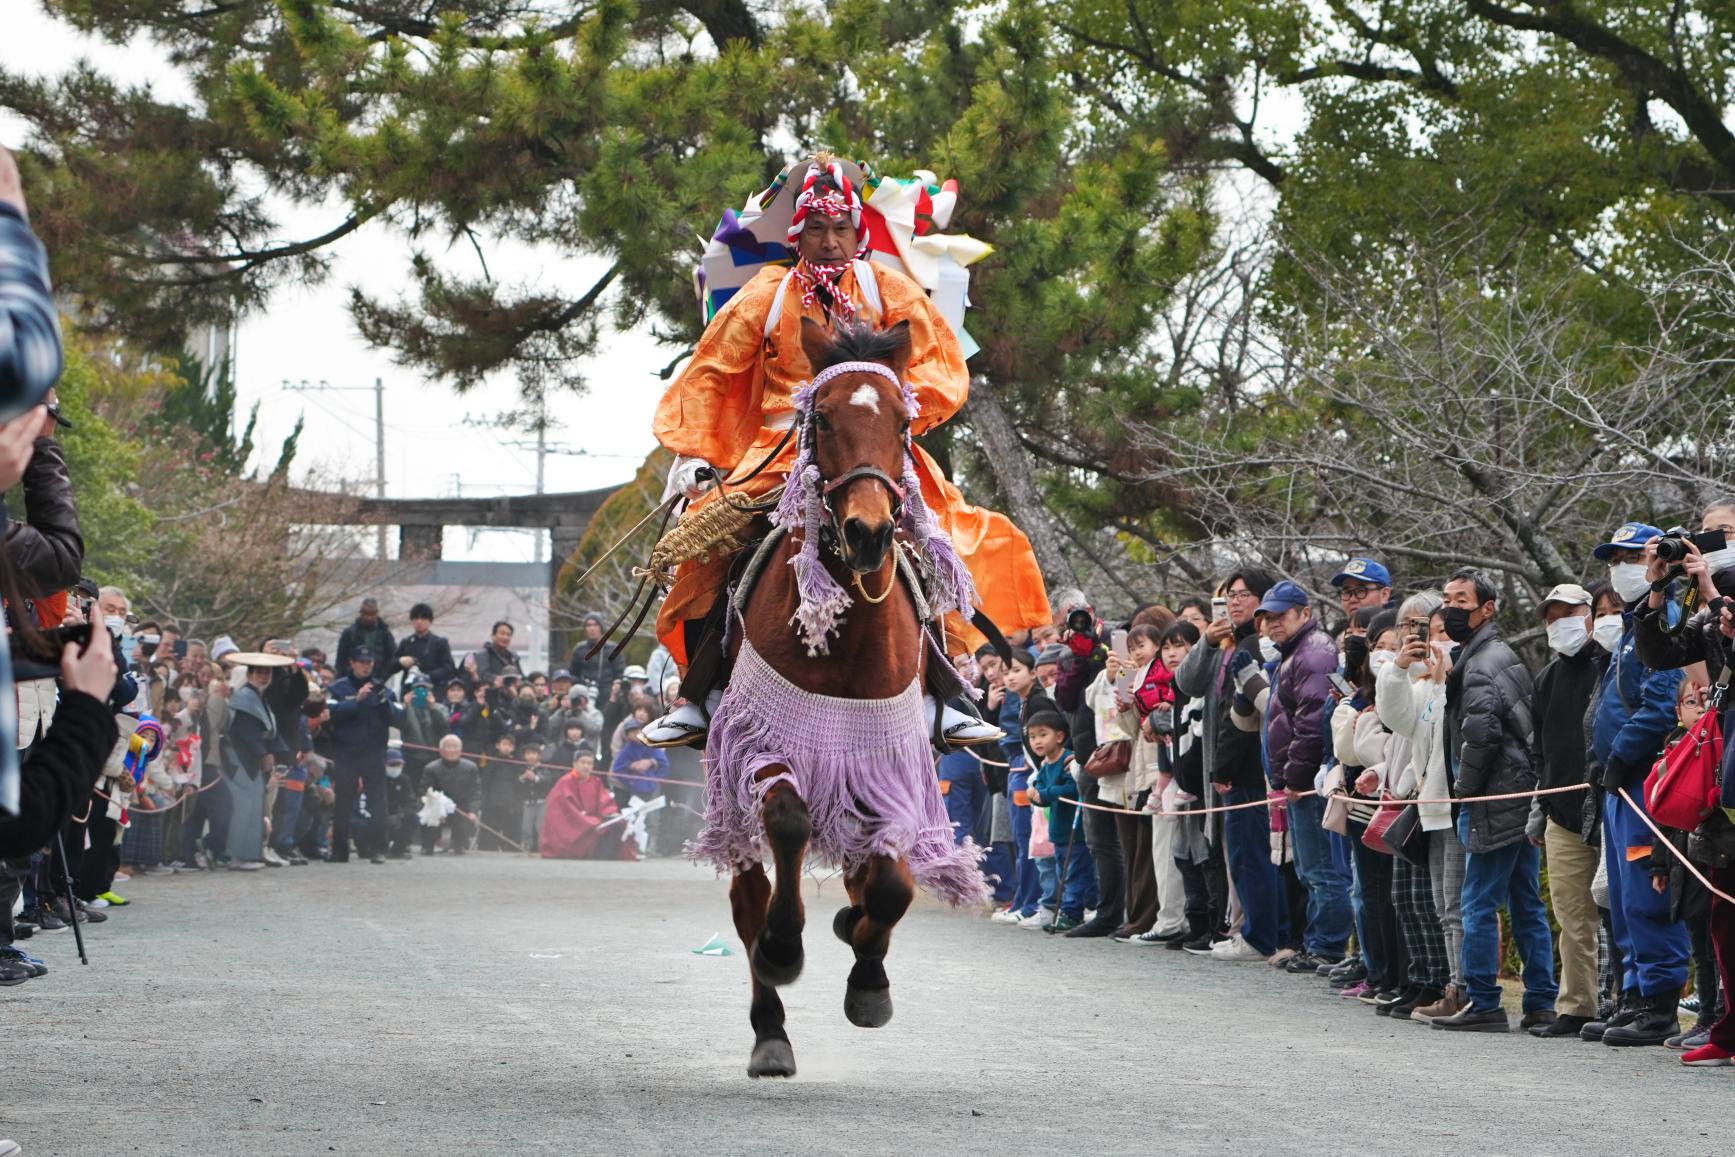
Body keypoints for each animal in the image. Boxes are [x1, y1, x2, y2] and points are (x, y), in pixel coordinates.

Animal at [700, 313, 978, 1075]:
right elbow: (790, 825)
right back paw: (769, 1027)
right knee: (748, 892)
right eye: (820, 418)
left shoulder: (889, 760)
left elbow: (889, 881)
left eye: (904, 425)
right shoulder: (760, 739)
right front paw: (784, 944)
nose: (868, 531)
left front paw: (867, 971)